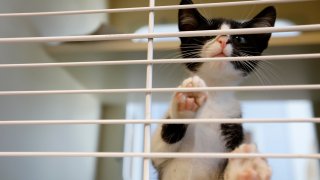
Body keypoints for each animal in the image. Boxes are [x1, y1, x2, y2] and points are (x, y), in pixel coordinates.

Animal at [151, 0, 276, 180]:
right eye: (208, 33)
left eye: (239, 38)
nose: (223, 40)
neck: (214, 94)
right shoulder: (158, 159)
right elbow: (157, 151)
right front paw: (186, 104)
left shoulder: (233, 121)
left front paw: (243, 166)